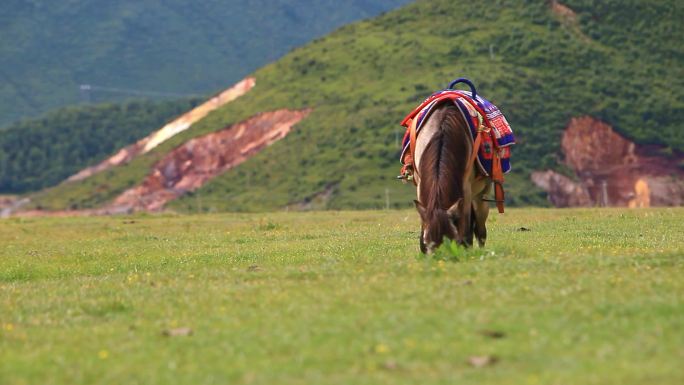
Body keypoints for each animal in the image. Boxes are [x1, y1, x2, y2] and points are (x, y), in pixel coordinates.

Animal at [412, 102, 492, 252]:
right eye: (426, 243)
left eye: (452, 240)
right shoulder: (420, 185)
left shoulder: (466, 190)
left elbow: (466, 232)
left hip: (481, 196)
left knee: (480, 231)